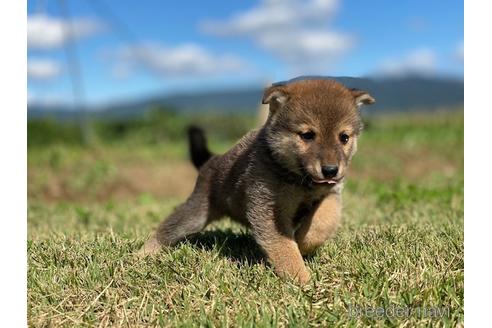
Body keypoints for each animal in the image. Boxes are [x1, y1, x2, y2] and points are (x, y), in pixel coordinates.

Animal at [140, 78, 374, 284]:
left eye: (344, 137)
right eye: (307, 135)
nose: (331, 171)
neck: (298, 181)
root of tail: (213, 160)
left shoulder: (330, 195)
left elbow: (323, 222)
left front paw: (305, 242)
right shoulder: (268, 209)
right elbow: (283, 247)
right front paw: (301, 279)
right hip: (195, 214)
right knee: (166, 230)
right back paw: (142, 255)